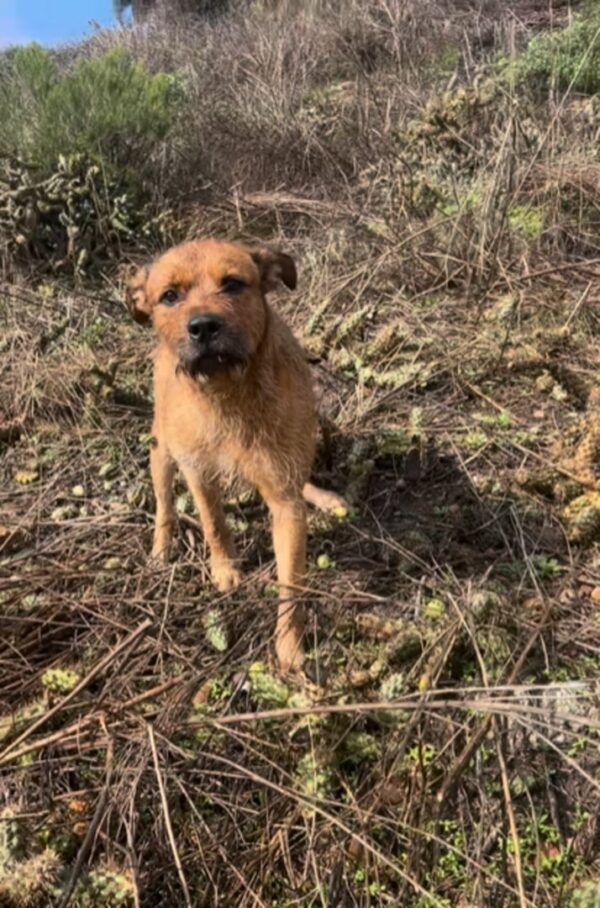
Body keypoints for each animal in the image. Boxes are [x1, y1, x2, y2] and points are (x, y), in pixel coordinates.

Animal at [127, 238, 346, 672]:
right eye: (170, 296)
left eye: (232, 284)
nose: (203, 326)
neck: (227, 392)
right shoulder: (198, 473)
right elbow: (213, 523)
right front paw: (225, 569)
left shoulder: (285, 500)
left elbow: (291, 581)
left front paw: (289, 645)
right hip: (162, 454)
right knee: (165, 505)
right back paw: (161, 550)